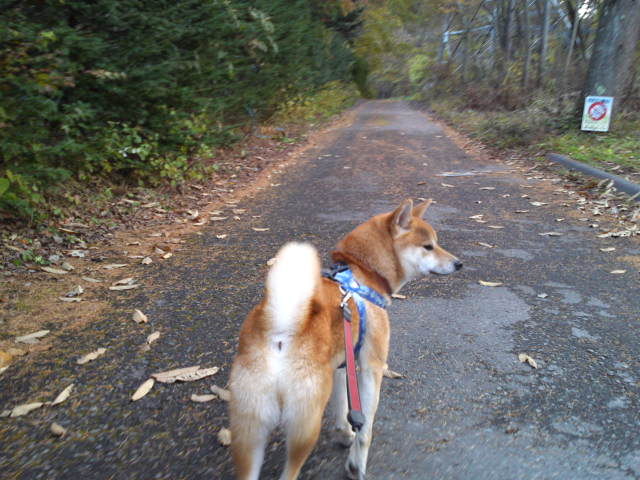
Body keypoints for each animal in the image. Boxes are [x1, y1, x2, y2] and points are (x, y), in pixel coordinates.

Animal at [229, 198, 462, 480]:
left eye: (436, 243)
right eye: (428, 246)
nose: (459, 263)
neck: (363, 273)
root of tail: (279, 331)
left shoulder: (340, 366)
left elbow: (342, 408)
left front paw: (344, 434)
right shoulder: (372, 367)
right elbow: (366, 428)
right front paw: (356, 463)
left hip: (249, 432)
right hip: (305, 426)